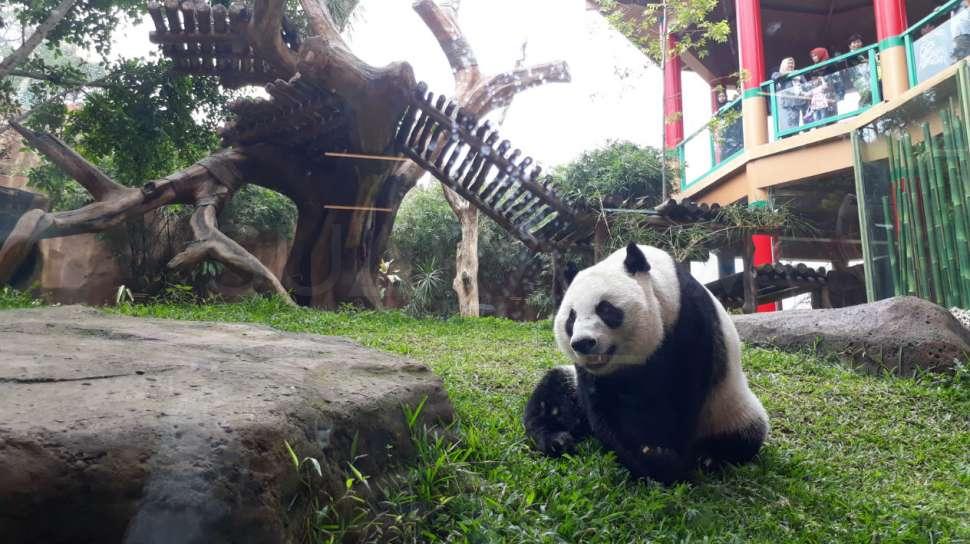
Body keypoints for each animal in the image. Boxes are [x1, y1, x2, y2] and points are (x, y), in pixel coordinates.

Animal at [524, 242, 768, 484]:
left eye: (606, 309)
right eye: (571, 318)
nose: (583, 343)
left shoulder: (688, 321)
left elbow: (682, 393)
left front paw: (667, 461)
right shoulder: (592, 375)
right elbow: (604, 406)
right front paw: (653, 461)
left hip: (730, 408)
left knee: (745, 436)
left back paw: (710, 457)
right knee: (553, 392)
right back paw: (556, 439)